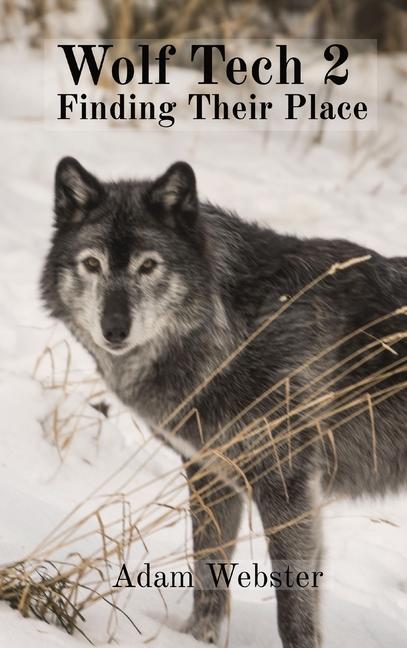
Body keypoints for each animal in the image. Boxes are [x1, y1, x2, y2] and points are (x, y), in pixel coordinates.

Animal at [41, 157, 407, 647]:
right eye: (92, 264)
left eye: (148, 265)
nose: (114, 329)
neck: (232, 325)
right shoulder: (209, 474)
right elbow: (208, 577)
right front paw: (198, 638)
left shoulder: (286, 485)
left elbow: (293, 610)